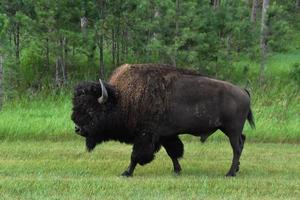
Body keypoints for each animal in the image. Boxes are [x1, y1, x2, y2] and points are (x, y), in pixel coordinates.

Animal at [71, 63, 255, 177]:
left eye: (91, 109)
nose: (77, 129)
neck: (121, 99)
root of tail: (242, 91)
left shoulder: (145, 136)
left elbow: (135, 155)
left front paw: (126, 173)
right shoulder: (166, 135)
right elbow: (173, 152)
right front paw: (177, 170)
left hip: (231, 130)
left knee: (236, 148)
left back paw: (229, 173)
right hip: (231, 130)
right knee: (242, 141)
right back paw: (236, 170)